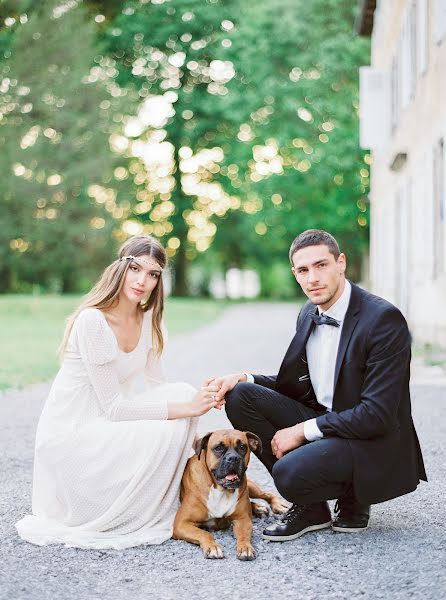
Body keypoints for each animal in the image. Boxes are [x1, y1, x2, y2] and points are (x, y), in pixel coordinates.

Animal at [172, 428, 288, 560]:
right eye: (218, 448)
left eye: (242, 447)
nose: (233, 458)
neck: (221, 489)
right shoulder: (181, 524)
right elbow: (203, 533)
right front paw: (213, 547)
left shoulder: (243, 519)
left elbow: (243, 535)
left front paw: (245, 548)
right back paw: (259, 508)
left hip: (251, 487)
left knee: (266, 494)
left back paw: (276, 506)